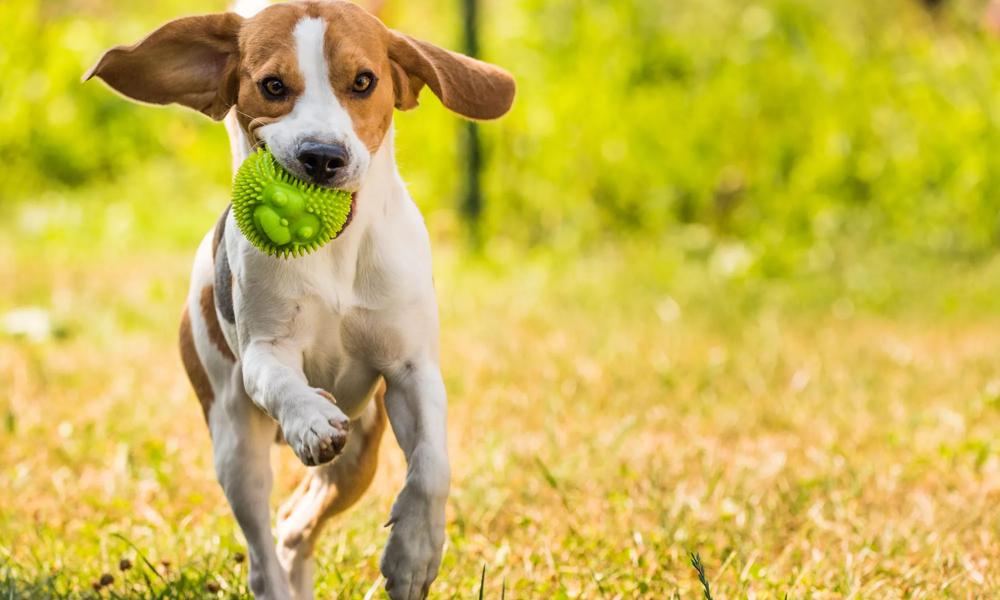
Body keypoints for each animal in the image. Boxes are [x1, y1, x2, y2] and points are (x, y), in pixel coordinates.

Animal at [84, 2, 516, 596]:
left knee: (293, 525)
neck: (332, 255)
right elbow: (282, 381)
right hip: (234, 440)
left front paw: (415, 555)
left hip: (360, 455)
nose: (322, 157)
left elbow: (431, 467)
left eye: (364, 81)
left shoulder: (412, 368)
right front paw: (310, 420)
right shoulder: (265, 351)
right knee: (262, 553)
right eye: (273, 86)